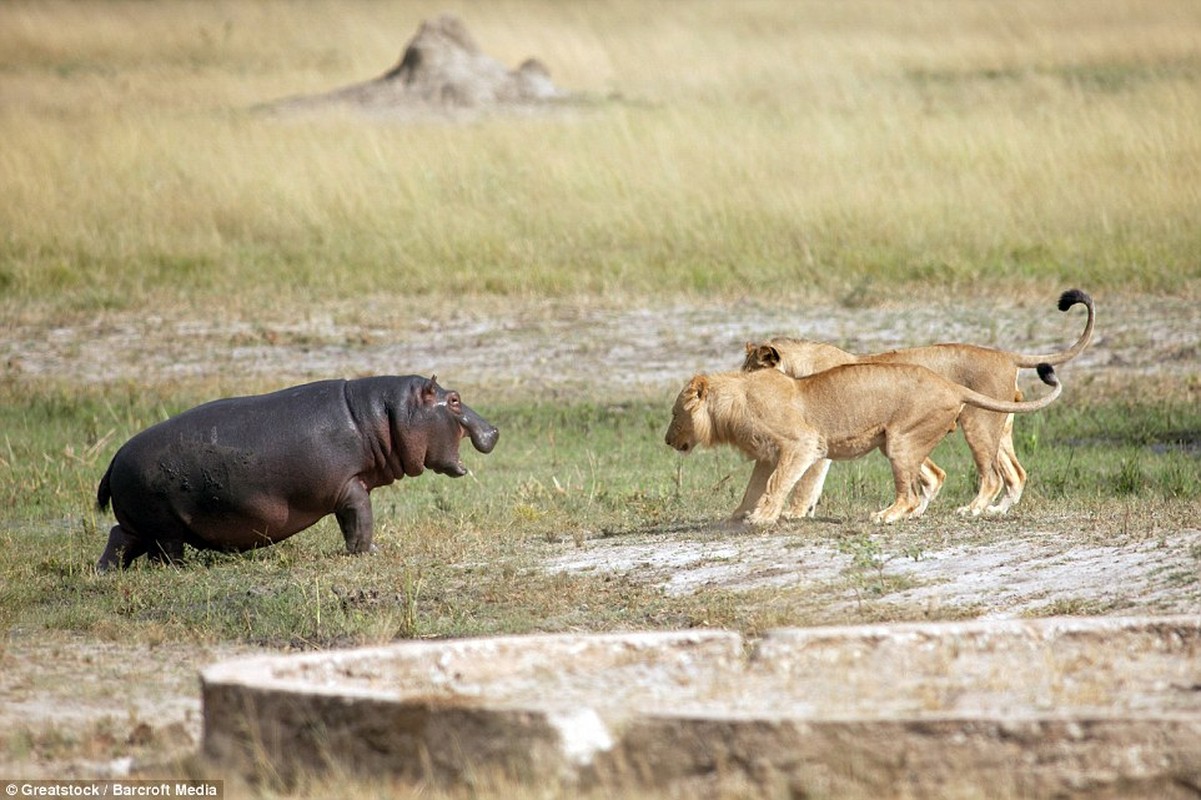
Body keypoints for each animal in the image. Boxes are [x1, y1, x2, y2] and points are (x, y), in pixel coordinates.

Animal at [667, 360, 1061, 523]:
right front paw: (741, 514)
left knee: (909, 492)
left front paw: (762, 518)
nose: (668, 441)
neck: (733, 404)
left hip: (901, 440)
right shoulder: (767, 454)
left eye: (674, 414)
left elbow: (779, 482)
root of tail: (950, 385)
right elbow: (756, 485)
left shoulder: (802, 444)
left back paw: (887, 516)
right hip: (896, 442)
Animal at [739, 287, 1100, 516]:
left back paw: (971, 510)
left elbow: (807, 480)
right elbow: (928, 474)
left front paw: (795, 512)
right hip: (999, 427)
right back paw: (995, 511)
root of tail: (1006, 354)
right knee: (1016, 474)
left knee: (993, 477)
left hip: (977, 423)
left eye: (750, 372)